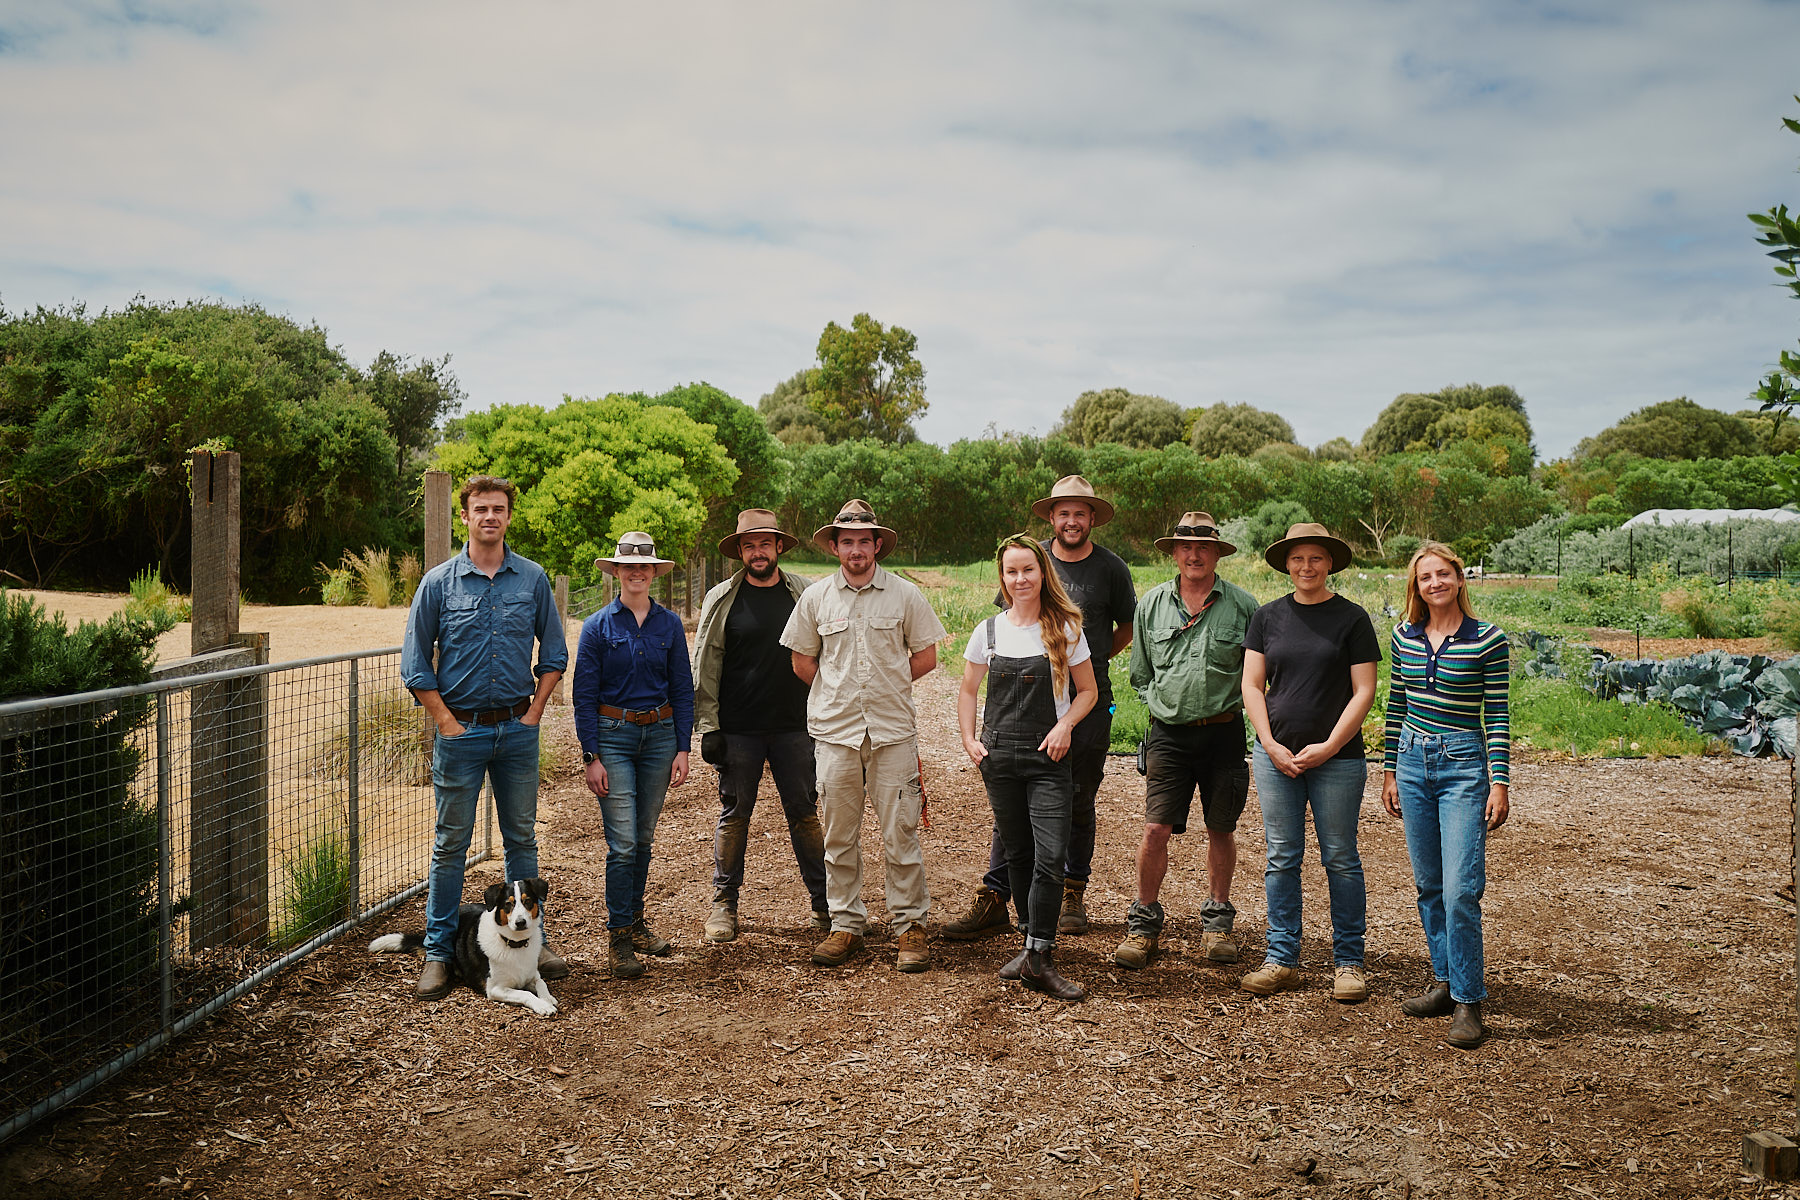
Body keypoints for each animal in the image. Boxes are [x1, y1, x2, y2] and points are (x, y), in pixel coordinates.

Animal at [369, 877, 558, 1021]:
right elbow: (525, 994)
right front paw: (543, 1005)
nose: (520, 922)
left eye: (528, 901)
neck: (514, 943)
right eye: (508, 904)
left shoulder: (533, 975)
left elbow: (541, 983)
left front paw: (548, 998)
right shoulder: (495, 989)